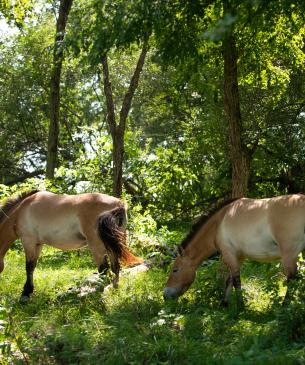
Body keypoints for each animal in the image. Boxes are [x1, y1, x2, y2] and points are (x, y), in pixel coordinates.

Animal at [0, 189, 142, 298]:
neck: (20, 211)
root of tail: (118, 204)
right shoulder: (38, 244)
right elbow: (33, 266)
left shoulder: (28, 241)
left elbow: (28, 267)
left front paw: (26, 293)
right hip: (113, 245)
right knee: (115, 267)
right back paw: (114, 290)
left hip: (97, 247)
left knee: (104, 269)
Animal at [164, 193, 305, 304]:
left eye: (175, 270)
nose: (165, 295)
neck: (218, 223)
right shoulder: (239, 256)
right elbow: (230, 280)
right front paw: (224, 304)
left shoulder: (229, 255)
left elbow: (236, 281)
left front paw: (240, 306)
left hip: (289, 256)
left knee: (292, 279)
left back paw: (285, 306)